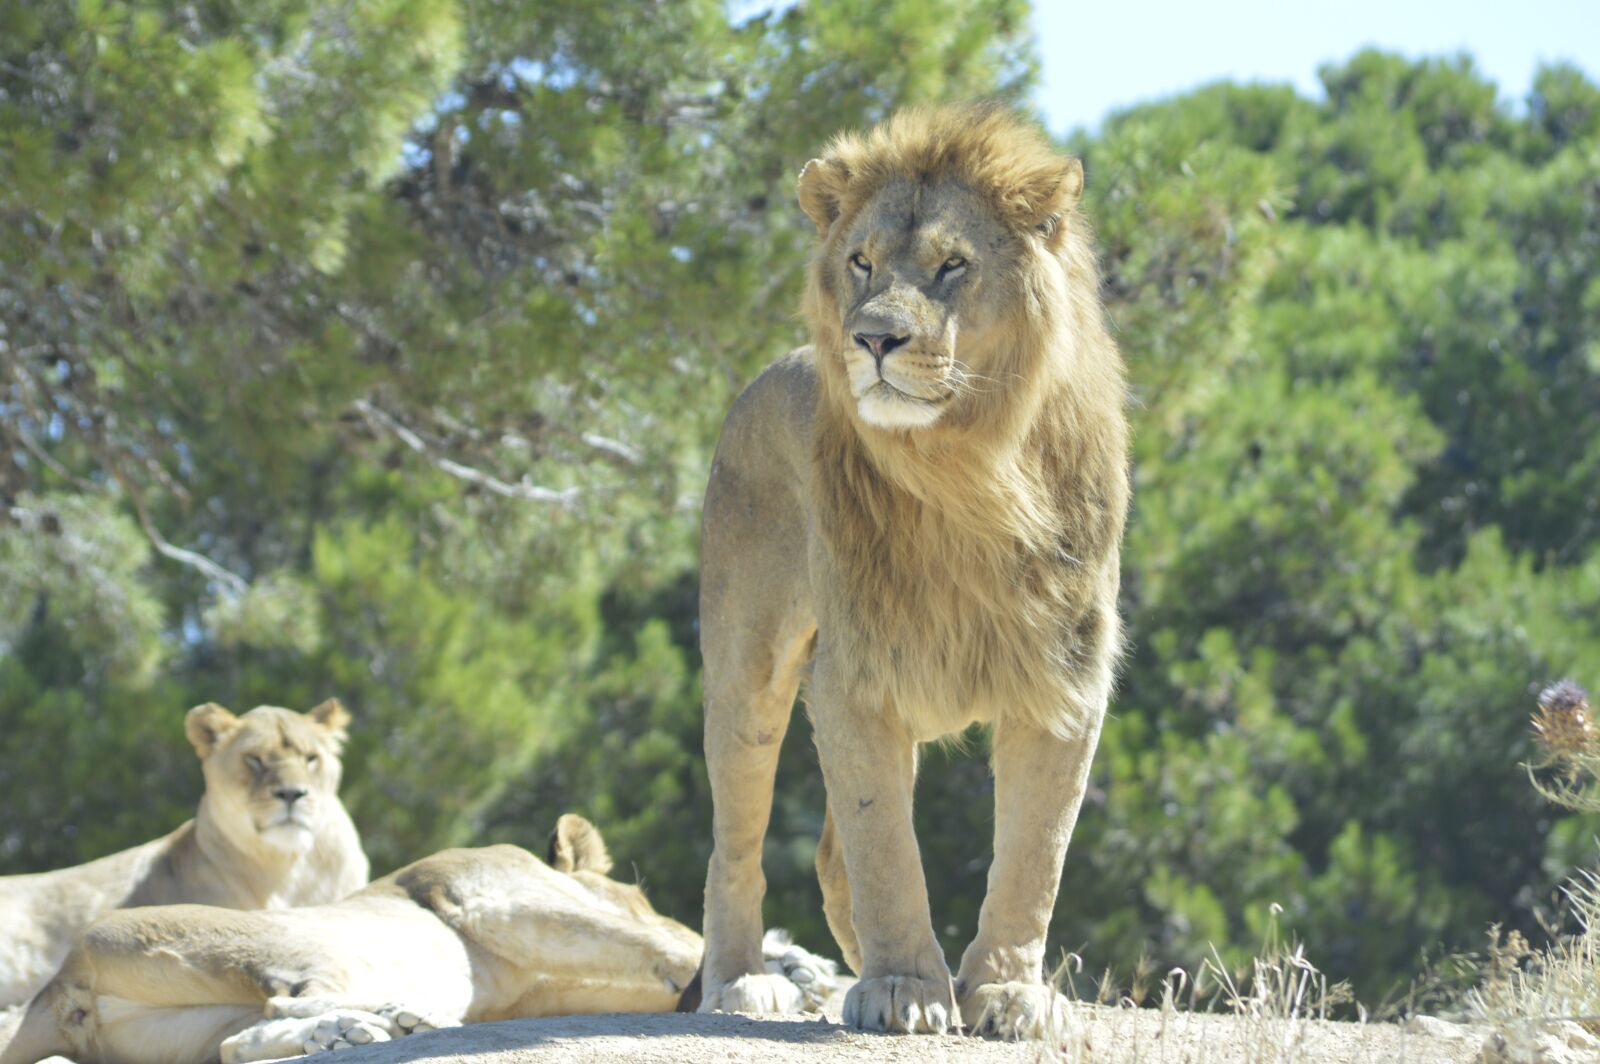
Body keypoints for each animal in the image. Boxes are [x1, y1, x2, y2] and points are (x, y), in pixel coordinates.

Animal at [0, 815, 834, 1064]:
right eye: (642, 894)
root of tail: (58, 983)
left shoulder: (538, 990)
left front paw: (792, 963)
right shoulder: (495, 895)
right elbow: (652, 945)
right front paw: (778, 975)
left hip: (188, 1028)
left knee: (240, 1042)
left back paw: (369, 1029)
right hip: (280, 944)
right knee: (283, 1005)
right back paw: (381, 1022)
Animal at [696, 104, 1129, 1039]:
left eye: (951, 265)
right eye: (860, 262)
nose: (873, 337)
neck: (967, 473)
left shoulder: (1065, 680)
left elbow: (1034, 858)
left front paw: (1005, 992)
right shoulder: (855, 673)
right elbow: (885, 847)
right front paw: (904, 987)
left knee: (830, 853)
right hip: (747, 675)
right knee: (735, 839)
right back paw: (742, 981)